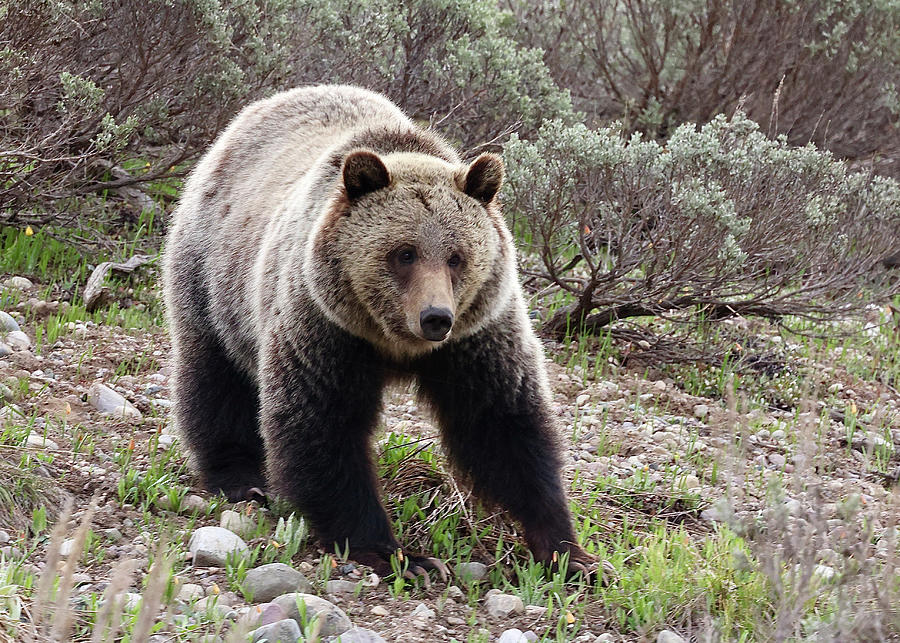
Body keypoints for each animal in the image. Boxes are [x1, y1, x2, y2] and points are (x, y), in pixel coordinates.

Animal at [164, 85, 596, 580]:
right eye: (404, 253)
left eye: (457, 257)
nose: (435, 317)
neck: (394, 342)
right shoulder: (324, 327)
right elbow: (323, 425)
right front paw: (399, 554)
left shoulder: (476, 337)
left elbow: (504, 424)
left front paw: (570, 552)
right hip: (212, 275)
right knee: (215, 376)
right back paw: (240, 478)